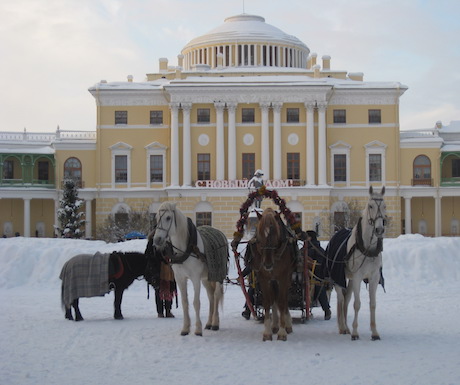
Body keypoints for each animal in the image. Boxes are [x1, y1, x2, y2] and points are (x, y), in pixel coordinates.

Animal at [152, 202, 229, 334]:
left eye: (168, 217)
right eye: (157, 217)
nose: (157, 240)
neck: (185, 250)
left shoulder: (195, 278)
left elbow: (196, 303)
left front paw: (197, 329)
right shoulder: (180, 278)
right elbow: (185, 302)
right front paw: (185, 328)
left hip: (218, 275)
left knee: (216, 295)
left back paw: (215, 323)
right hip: (206, 278)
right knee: (211, 297)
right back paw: (209, 323)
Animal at [248, 207, 298, 340]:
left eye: (275, 235)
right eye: (259, 236)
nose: (268, 264)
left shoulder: (283, 277)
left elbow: (281, 302)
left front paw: (282, 331)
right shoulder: (264, 278)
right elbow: (267, 302)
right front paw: (267, 331)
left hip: (286, 278)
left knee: (284, 299)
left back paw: (287, 324)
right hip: (273, 280)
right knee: (274, 300)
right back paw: (274, 325)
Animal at [332, 186, 386, 340]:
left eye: (384, 206)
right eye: (371, 205)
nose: (379, 229)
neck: (367, 248)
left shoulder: (373, 277)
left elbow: (372, 304)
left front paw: (374, 332)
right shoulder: (357, 277)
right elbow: (357, 304)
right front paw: (355, 332)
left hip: (349, 279)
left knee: (346, 299)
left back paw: (346, 327)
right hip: (338, 279)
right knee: (341, 299)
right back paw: (343, 327)